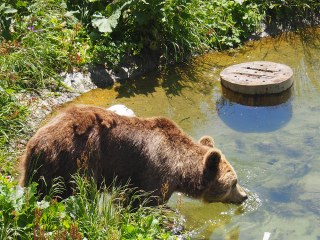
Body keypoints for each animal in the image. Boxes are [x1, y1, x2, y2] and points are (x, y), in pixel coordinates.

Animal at [18, 104, 246, 205]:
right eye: (234, 182)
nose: (244, 196)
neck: (180, 168)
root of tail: (36, 143)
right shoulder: (155, 174)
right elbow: (142, 203)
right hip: (75, 162)